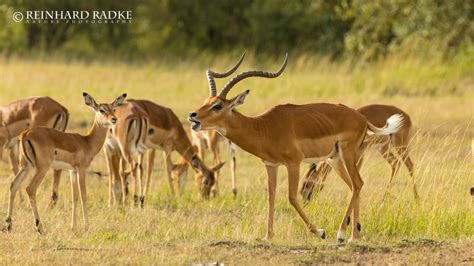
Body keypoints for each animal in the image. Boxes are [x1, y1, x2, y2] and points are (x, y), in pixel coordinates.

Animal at [5, 93, 124, 233]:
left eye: (113, 109)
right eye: (102, 110)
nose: (114, 119)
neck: (87, 142)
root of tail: (25, 134)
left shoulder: (72, 171)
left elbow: (74, 197)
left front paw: (73, 227)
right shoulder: (81, 170)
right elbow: (83, 195)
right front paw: (86, 227)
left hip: (26, 166)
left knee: (13, 185)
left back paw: (8, 225)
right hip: (41, 168)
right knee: (30, 189)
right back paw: (40, 228)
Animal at [189, 53, 404, 242]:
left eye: (217, 106)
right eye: (206, 101)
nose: (192, 116)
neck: (263, 127)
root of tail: (362, 118)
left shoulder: (294, 163)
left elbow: (292, 197)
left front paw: (320, 232)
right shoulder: (270, 165)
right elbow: (271, 197)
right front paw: (268, 236)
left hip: (347, 154)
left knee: (358, 183)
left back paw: (342, 234)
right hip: (334, 159)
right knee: (354, 186)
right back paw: (354, 235)